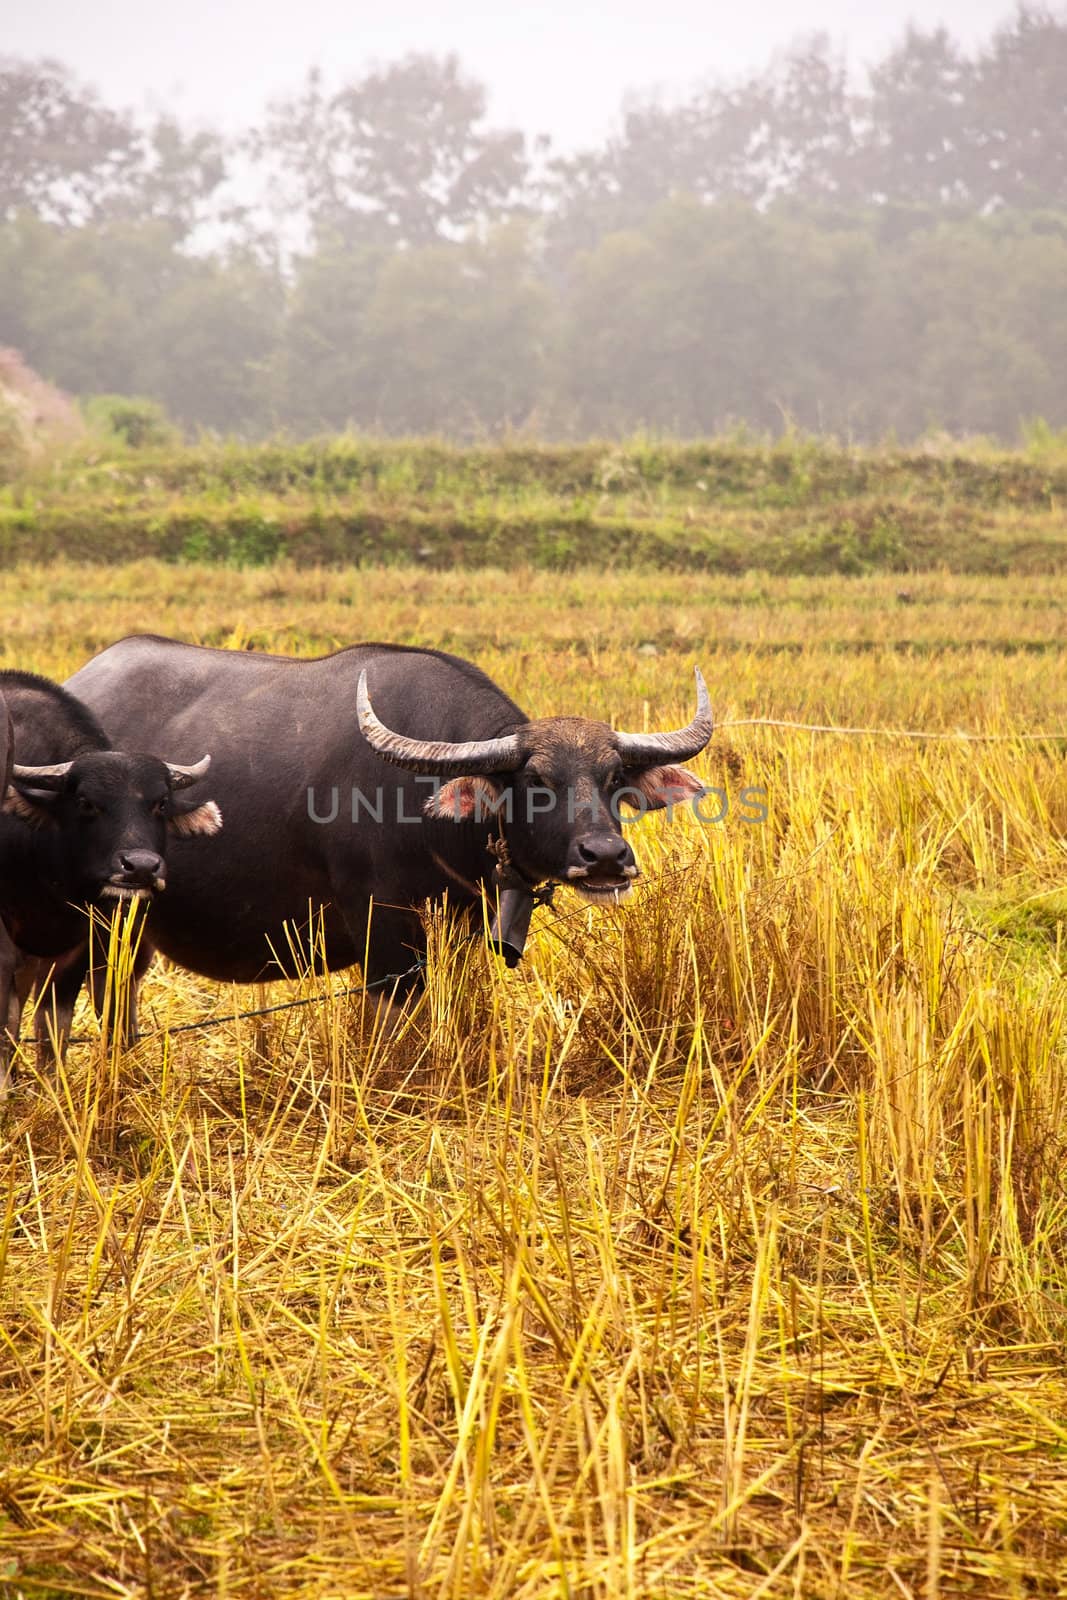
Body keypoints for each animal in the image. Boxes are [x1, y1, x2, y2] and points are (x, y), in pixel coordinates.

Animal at [0, 668, 220, 1081]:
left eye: (160, 803)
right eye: (85, 802)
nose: (140, 866)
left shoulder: (78, 948)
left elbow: (53, 1029)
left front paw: (51, 1086)